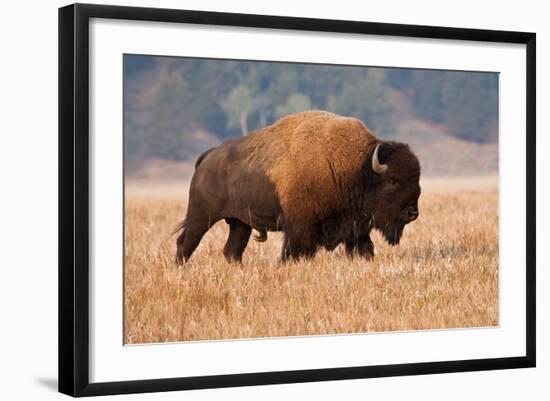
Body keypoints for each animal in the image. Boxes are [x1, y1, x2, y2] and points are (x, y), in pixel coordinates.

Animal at [177, 111, 422, 264]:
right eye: (392, 181)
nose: (413, 213)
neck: (357, 168)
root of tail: (207, 157)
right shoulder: (300, 228)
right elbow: (294, 252)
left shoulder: (356, 228)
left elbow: (365, 249)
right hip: (202, 216)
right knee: (186, 242)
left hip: (240, 223)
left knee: (232, 251)